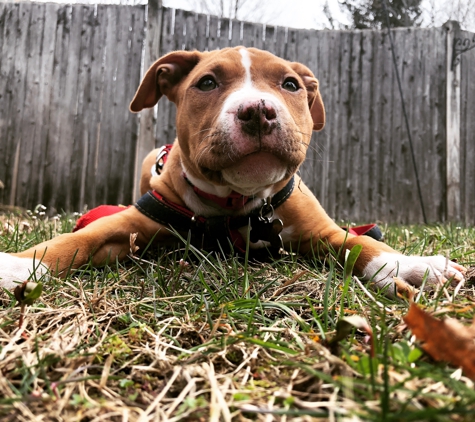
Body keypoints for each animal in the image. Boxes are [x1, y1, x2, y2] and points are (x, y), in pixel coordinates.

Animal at [0, 46, 466, 292]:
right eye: (206, 82)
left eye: (290, 84)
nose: (258, 110)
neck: (235, 202)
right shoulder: (129, 226)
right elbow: (72, 240)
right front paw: (17, 267)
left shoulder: (321, 231)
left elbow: (361, 243)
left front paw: (414, 265)